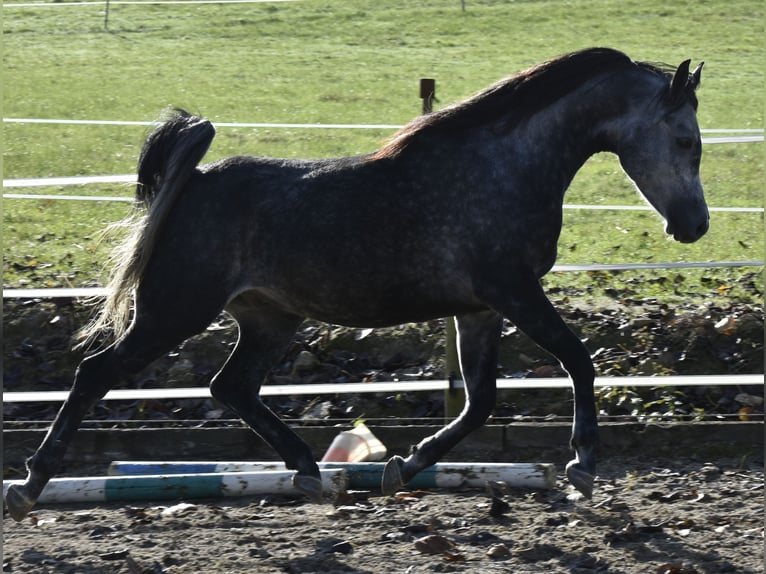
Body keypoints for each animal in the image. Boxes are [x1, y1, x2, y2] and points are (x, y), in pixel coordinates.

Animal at [6, 47, 712, 520]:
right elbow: (578, 361)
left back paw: (312, 474)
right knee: (96, 373)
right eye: (686, 139)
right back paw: (29, 487)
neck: (504, 166)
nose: (695, 225)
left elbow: (480, 400)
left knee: (231, 386)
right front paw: (582, 466)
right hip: (174, 310)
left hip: (269, 318)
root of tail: (195, 182)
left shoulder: (480, 310)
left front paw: (404, 465)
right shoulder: (513, 293)